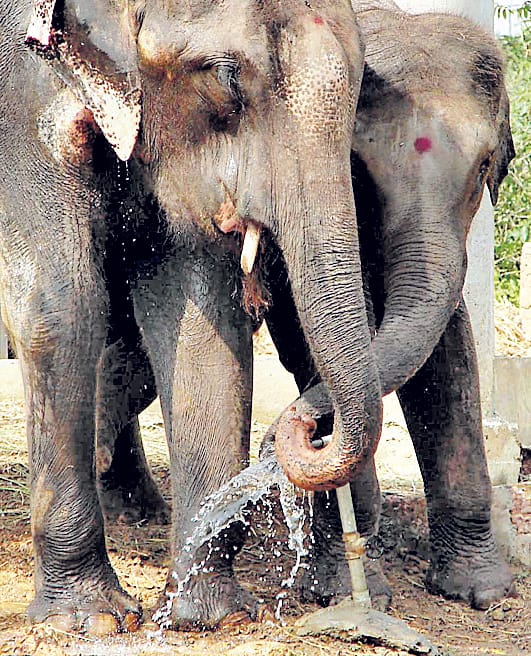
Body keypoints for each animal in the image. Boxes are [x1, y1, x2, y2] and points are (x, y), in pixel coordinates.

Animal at [0, 0, 384, 634]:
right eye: (227, 77)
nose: (305, 428)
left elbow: (204, 325)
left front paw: (208, 615)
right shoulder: (19, 105)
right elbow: (62, 307)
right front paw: (94, 619)